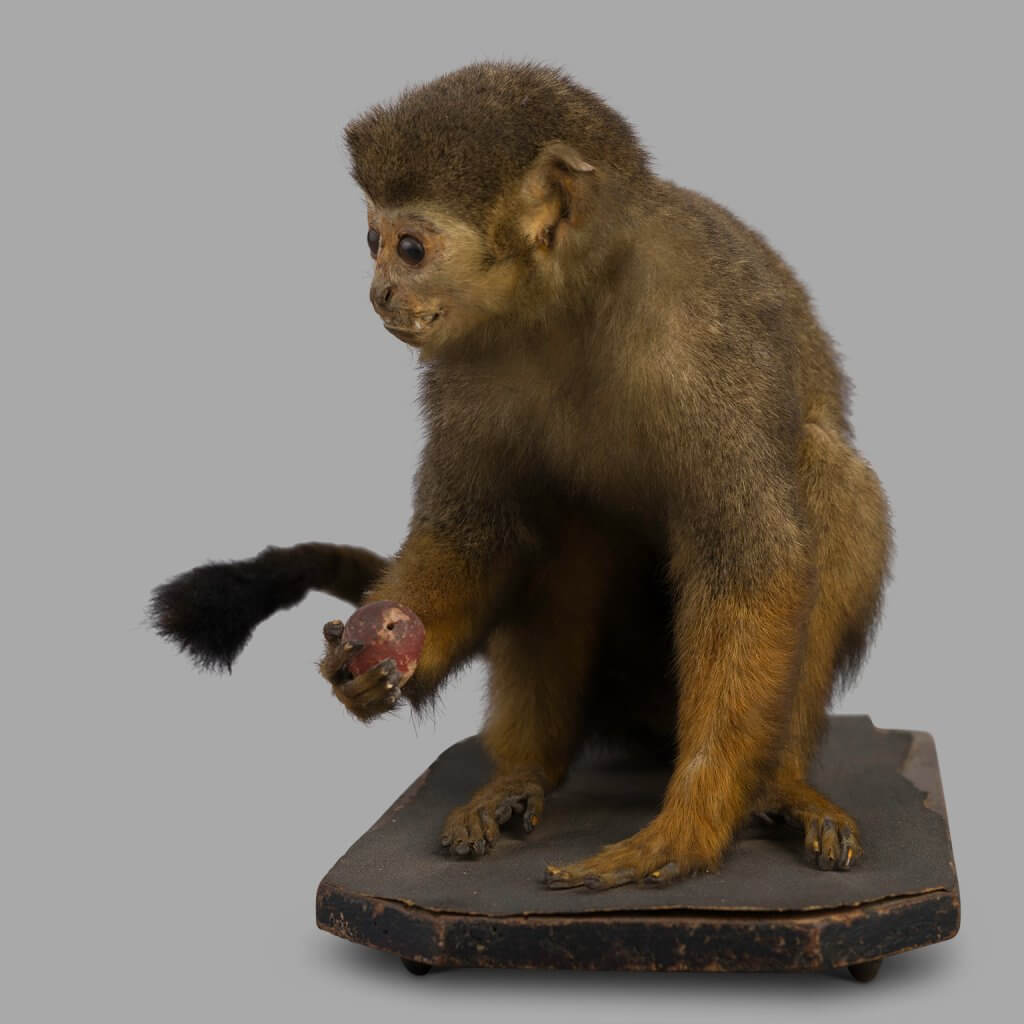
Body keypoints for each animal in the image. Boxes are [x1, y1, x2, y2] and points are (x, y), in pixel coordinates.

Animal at [151, 61, 891, 890]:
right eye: (371, 241)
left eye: (410, 248)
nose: (377, 292)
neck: (574, 303)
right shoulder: (464, 363)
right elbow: (479, 535)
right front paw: (378, 666)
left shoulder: (710, 339)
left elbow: (751, 563)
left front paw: (693, 819)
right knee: (558, 520)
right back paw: (523, 773)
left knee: (826, 475)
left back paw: (782, 784)